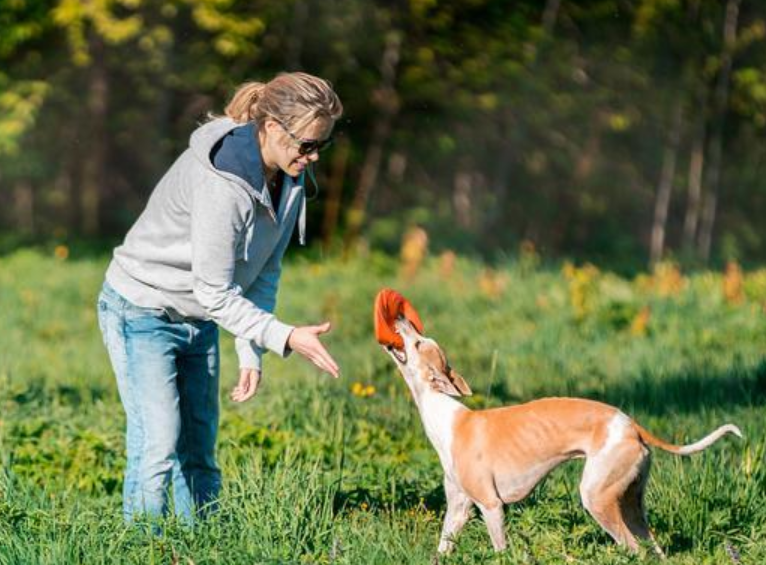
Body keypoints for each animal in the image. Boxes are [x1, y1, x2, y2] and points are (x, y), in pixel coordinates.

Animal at [384, 318, 744, 556]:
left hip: (598, 498)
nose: (401, 318)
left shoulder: (491, 506)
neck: (447, 416)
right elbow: (442, 549)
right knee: (653, 548)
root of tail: (632, 425)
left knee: (634, 550)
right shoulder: (458, 509)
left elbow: (501, 550)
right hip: (631, 504)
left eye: (419, 342)